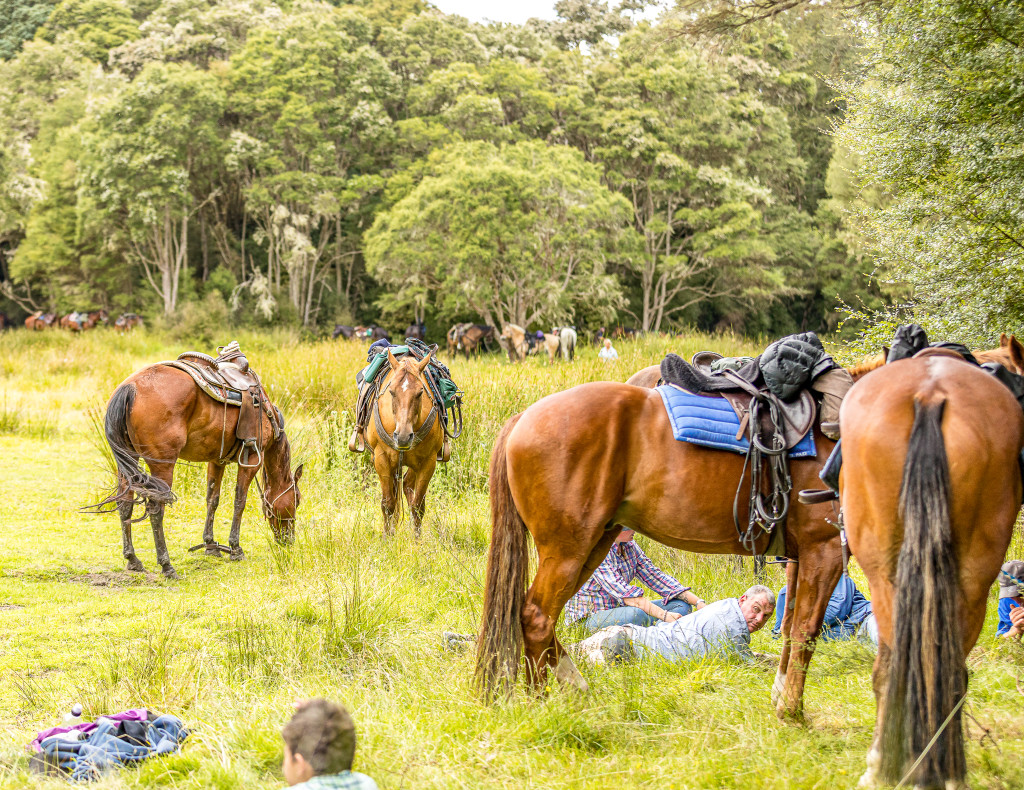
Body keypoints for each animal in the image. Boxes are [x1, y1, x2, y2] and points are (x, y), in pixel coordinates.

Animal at [91, 363, 303, 578]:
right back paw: (167, 566)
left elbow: (212, 500)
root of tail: (130, 388)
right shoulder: (251, 460)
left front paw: (210, 545)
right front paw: (235, 548)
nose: (288, 540)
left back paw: (133, 560)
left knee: (125, 504)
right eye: (297, 500)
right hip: (163, 466)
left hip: (128, 461)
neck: (268, 413)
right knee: (156, 511)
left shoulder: (216, 460)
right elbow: (239, 502)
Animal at [364, 348, 445, 536]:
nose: (403, 436)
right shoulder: (381, 459)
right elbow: (388, 504)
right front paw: (387, 538)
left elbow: (418, 507)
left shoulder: (428, 462)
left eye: (420, 392)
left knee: (407, 484)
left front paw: (417, 540)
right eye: (392, 391)